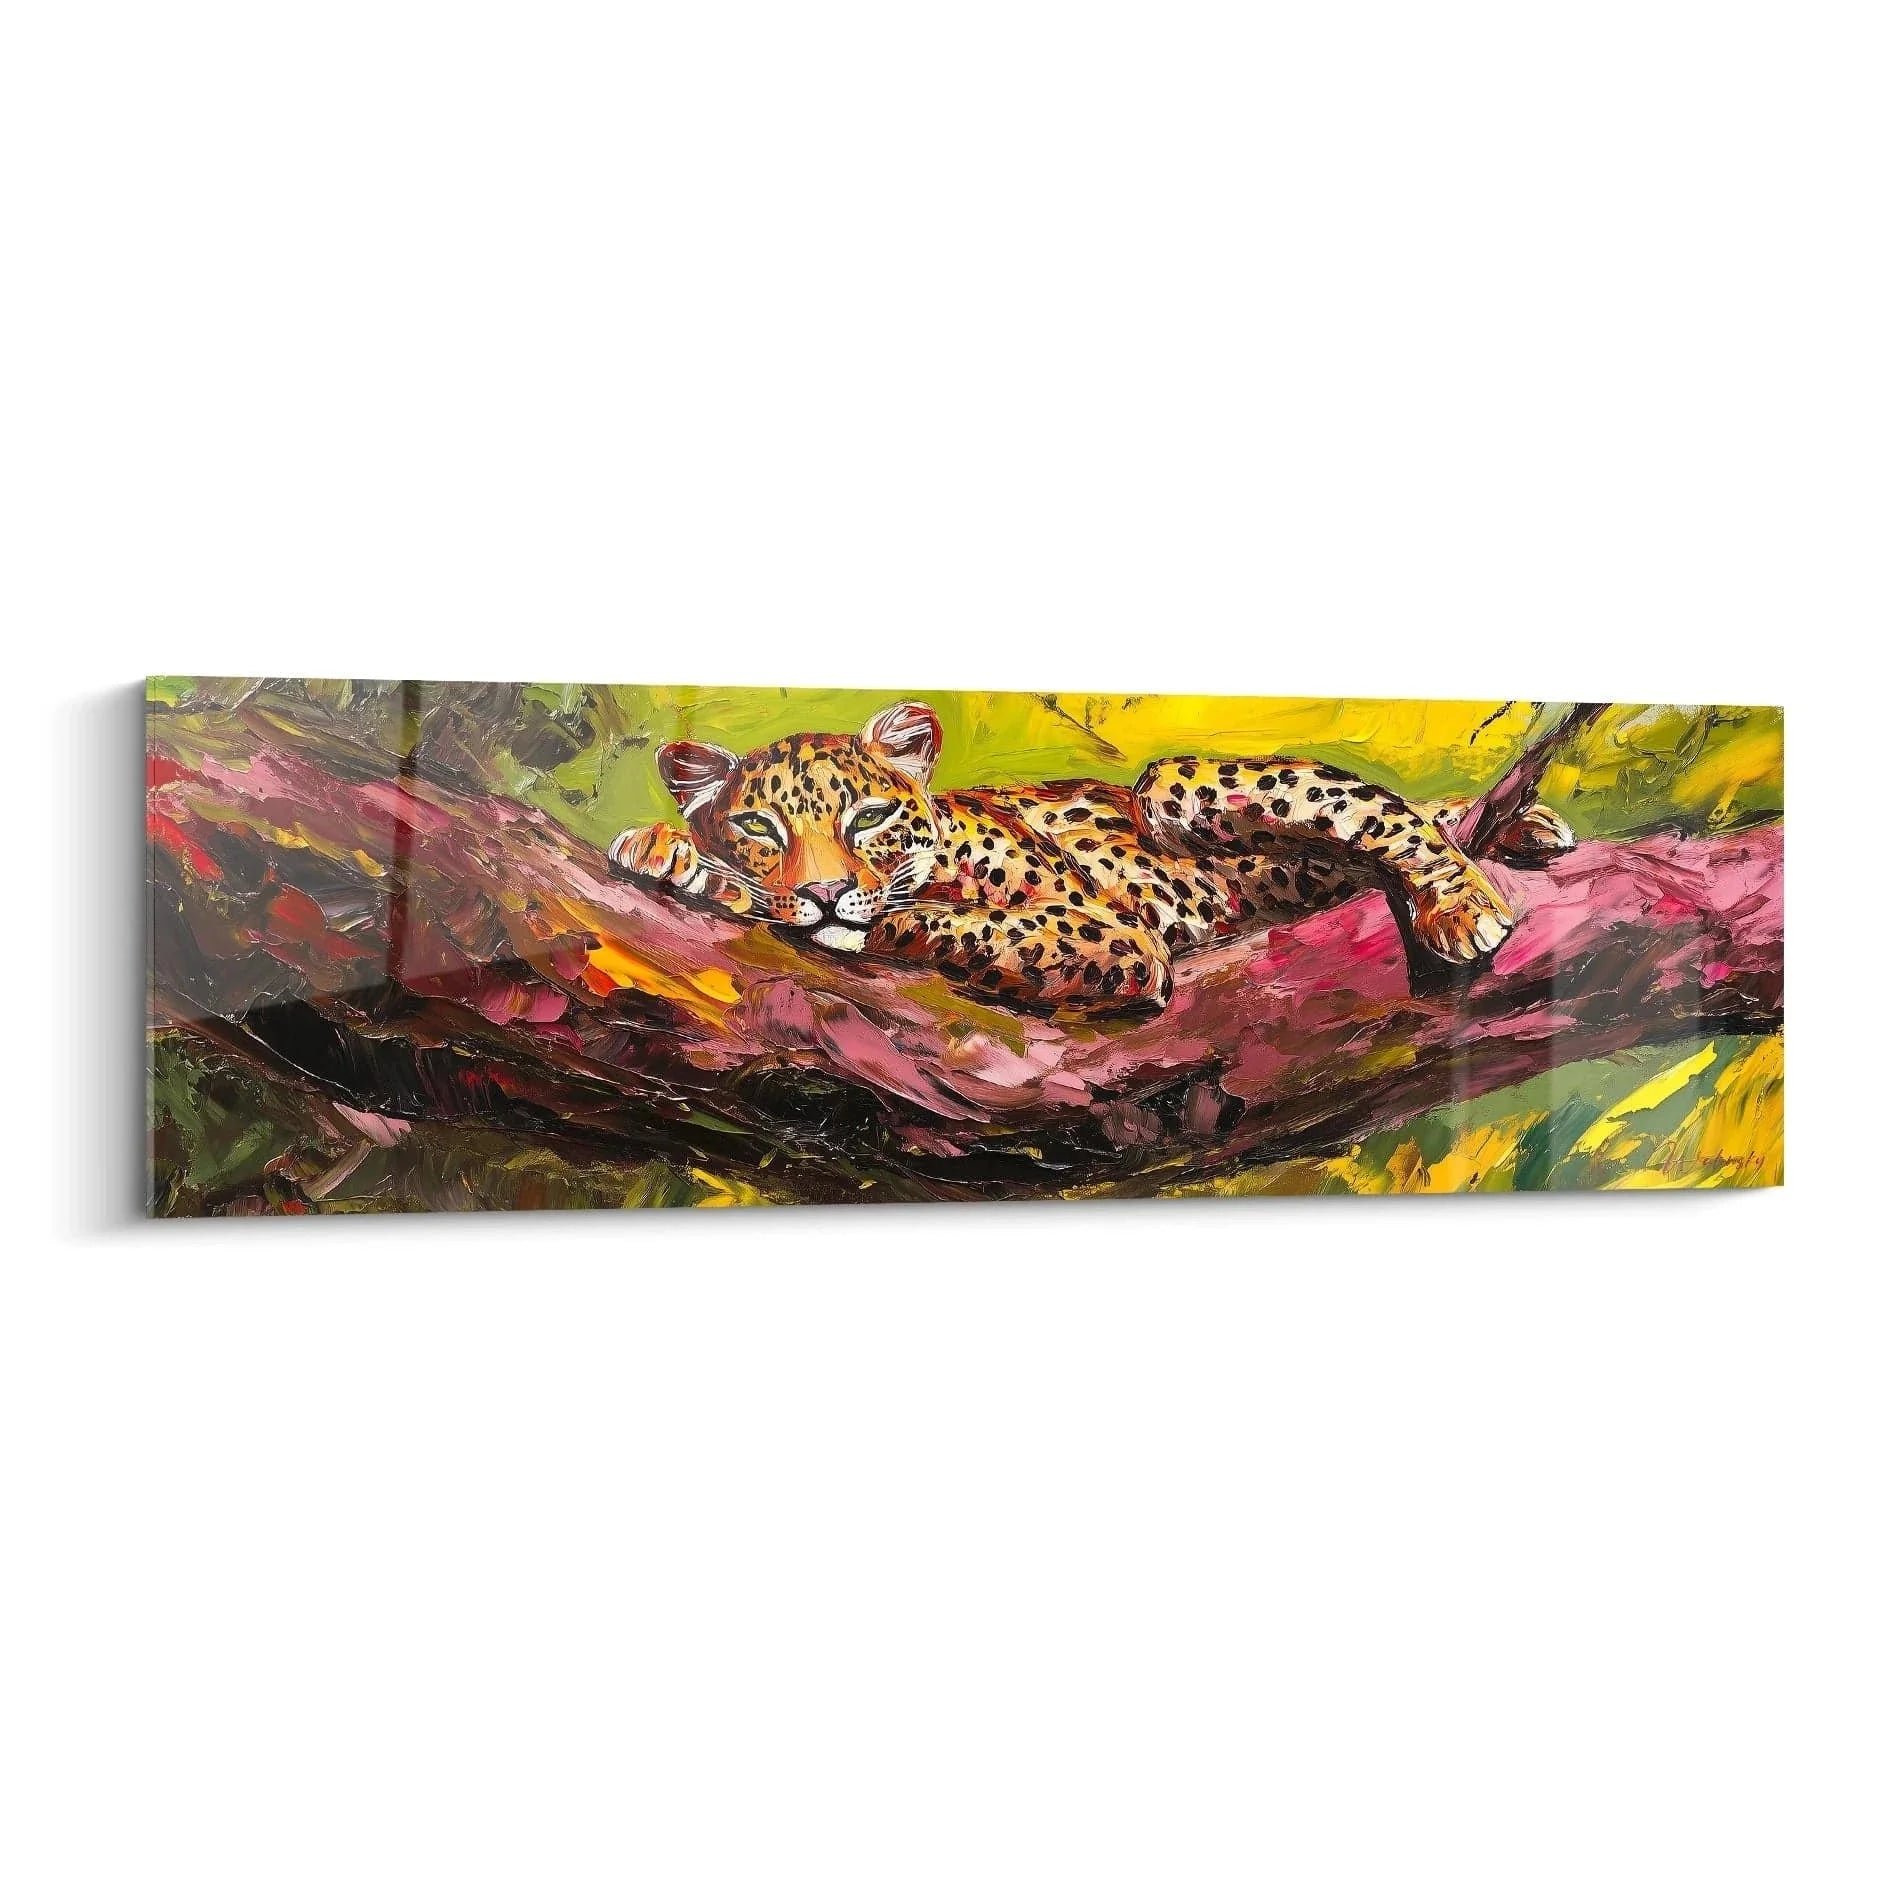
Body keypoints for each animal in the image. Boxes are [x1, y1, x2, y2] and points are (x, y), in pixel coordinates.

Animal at [607, 701, 1574, 1018]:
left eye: (870, 815)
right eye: (761, 828)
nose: (823, 891)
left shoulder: (1108, 932)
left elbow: (937, 918)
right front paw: (666, 852)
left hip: (1172, 784)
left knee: (1393, 816)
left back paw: (1464, 902)